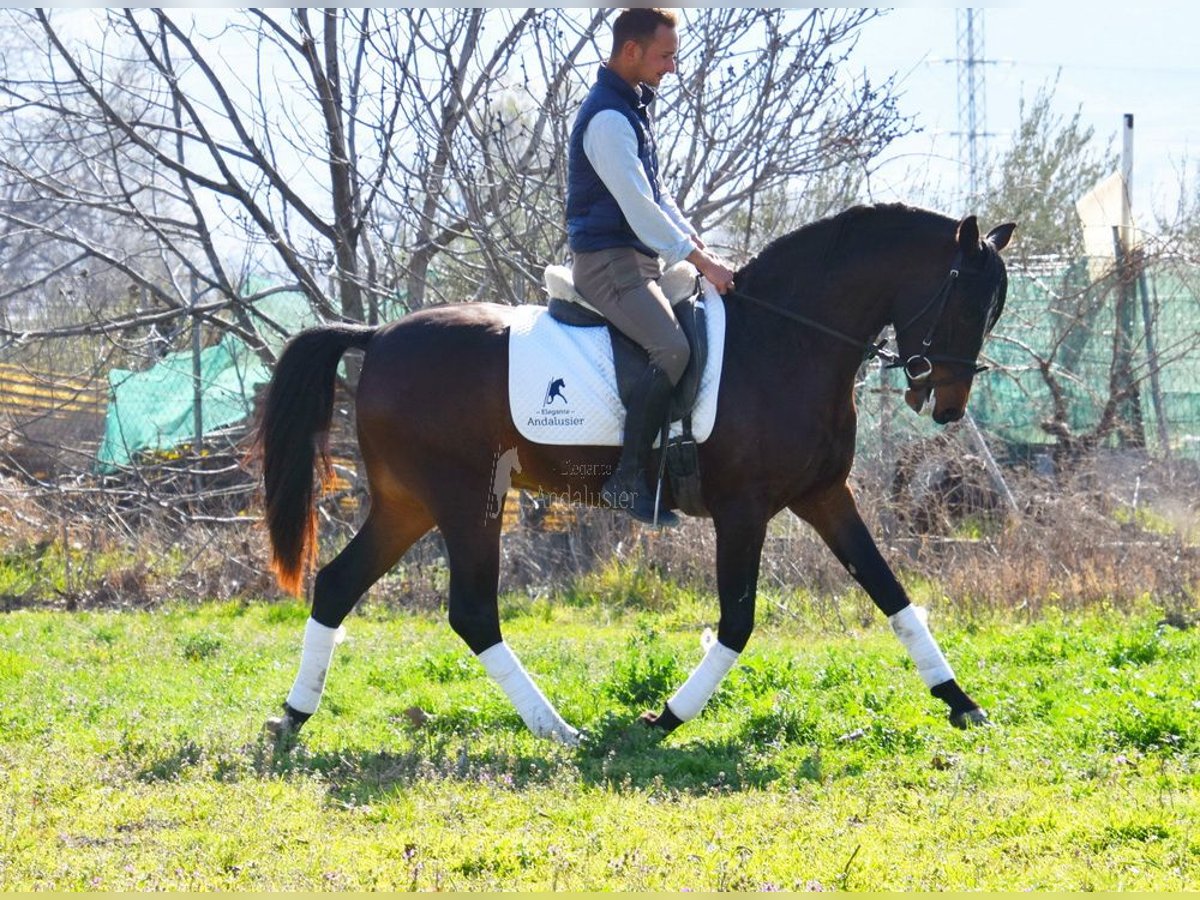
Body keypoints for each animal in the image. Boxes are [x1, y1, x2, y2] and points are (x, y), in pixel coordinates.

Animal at [260, 204, 1012, 748]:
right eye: (965, 305)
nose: (948, 406)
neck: (786, 340)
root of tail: (378, 335)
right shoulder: (744, 510)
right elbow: (738, 621)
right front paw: (668, 717)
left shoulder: (823, 495)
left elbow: (891, 593)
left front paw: (962, 703)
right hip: (469, 502)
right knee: (472, 612)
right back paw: (558, 730)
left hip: (409, 505)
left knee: (337, 585)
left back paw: (293, 717)